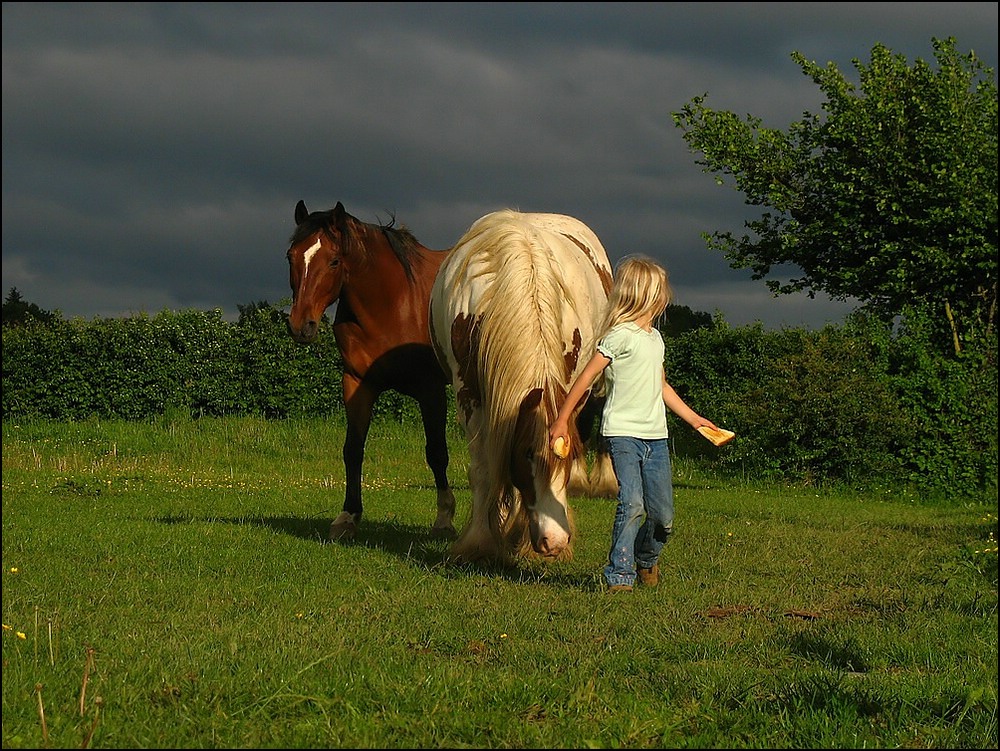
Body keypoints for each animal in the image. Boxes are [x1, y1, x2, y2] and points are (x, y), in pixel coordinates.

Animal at [286, 200, 458, 540]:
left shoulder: (430, 390)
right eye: (291, 256)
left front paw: (444, 518)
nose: (301, 325)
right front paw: (347, 517)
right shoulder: (357, 384)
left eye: (334, 260)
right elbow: (353, 449)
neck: (394, 303)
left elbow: (436, 452)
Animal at [430, 209, 616, 560]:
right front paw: (480, 541)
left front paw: (516, 535)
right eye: (528, 454)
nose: (555, 542)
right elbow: (484, 469)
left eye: (566, 459)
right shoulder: (468, 395)